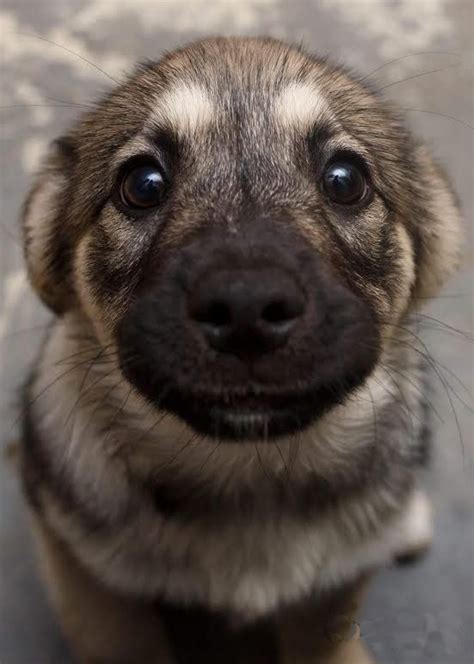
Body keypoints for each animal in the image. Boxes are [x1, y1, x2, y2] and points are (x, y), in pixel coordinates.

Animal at [20, 37, 462, 664]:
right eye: (143, 184)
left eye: (345, 179)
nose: (247, 307)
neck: (250, 472)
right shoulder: (84, 567)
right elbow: (119, 634)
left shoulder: (335, 587)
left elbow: (327, 634)